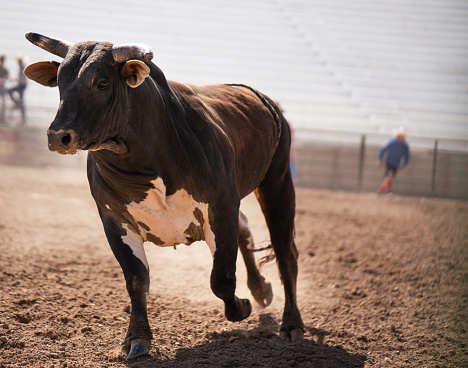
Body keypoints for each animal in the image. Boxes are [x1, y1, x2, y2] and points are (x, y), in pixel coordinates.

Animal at [24, 31, 304, 360]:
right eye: (60, 80)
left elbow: (222, 279)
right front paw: (137, 339)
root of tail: (261, 98)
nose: (58, 136)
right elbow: (137, 279)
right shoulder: (115, 220)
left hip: (278, 182)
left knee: (286, 254)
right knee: (247, 232)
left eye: (102, 82)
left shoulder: (221, 207)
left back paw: (291, 324)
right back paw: (261, 290)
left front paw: (242, 306)